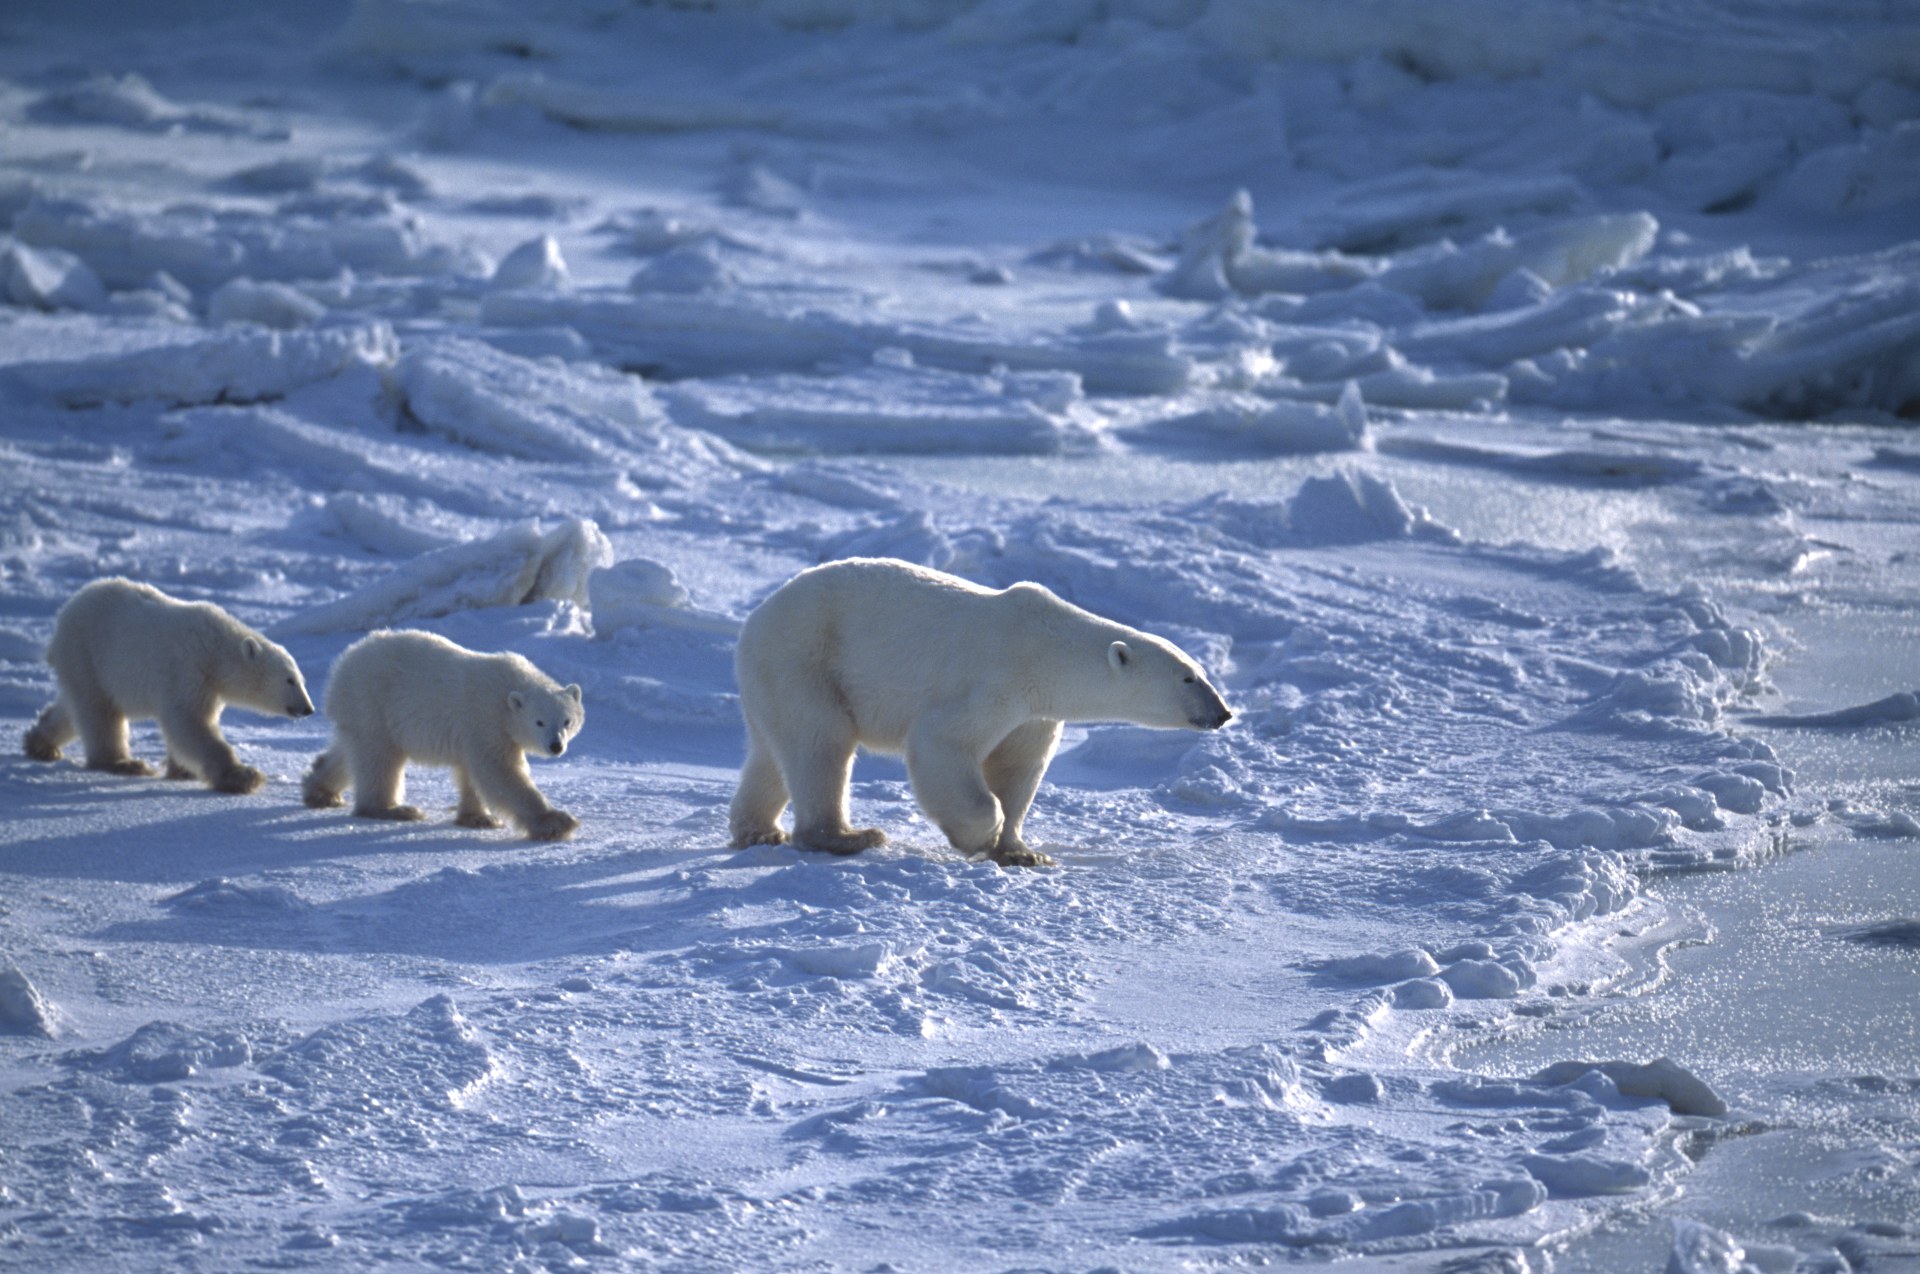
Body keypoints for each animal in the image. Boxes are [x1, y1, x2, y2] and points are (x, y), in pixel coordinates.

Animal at [22, 577, 315, 793]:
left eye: (302, 679)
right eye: (289, 679)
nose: (308, 708)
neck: (215, 649)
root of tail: (65, 613)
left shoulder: (209, 686)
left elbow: (189, 725)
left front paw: (181, 770)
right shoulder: (188, 671)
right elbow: (189, 723)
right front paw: (242, 776)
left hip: (83, 665)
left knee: (74, 707)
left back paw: (40, 744)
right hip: (87, 652)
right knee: (100, 713)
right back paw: (124, 763)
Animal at [302, 629, 583, 841]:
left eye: (567, 721)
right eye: (539, 722)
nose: (556, 746)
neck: (507, 692)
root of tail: (343, 664)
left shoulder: (478, 731)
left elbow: (472, 772)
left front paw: (478, 817)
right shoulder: (486, 719)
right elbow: (499, 771)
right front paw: (556, 822)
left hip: (360, 712)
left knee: (350, 751)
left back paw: (320, 791)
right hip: (373, 702)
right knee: (379, 759)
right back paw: (394, 809)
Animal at [728, 557, 1232, 867]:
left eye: (1201, 672)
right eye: (1188, 678)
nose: (1223, 712)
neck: (1046, 648)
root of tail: (756, 619)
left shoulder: (1034, 713)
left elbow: (1018, 769)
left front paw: (1023, 853)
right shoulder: (996, 682)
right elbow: (942, 743)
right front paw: (977, 837)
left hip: (776, 676)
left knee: (773, 752)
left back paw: (759, 831)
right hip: (807, 659)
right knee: (822, 743)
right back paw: (848, 836)